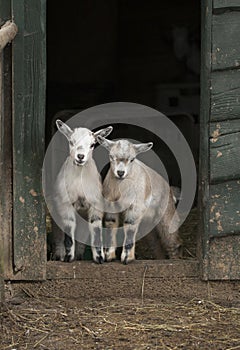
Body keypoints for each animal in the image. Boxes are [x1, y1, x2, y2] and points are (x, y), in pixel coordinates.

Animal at [52, 120, 112, 262]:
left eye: (92, 144)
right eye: (71, 141)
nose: (80, 156)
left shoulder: (96, 204)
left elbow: (95, 229)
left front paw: (99, 258)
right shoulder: (66, 204)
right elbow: (68, 229)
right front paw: (68, 257)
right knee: (58, 234)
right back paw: (59, 255)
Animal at [96, 137, 181, 266]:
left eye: (132, 159)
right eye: (111, 156)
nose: (120, 173)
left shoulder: (135, 207)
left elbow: (130, 227)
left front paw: (127, 258)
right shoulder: (111, 205)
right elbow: (111, 225)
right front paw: (109, 256)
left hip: (166, 212)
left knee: (171, 239)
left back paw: (175, 261)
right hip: (148, 223)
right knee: (155, 244)